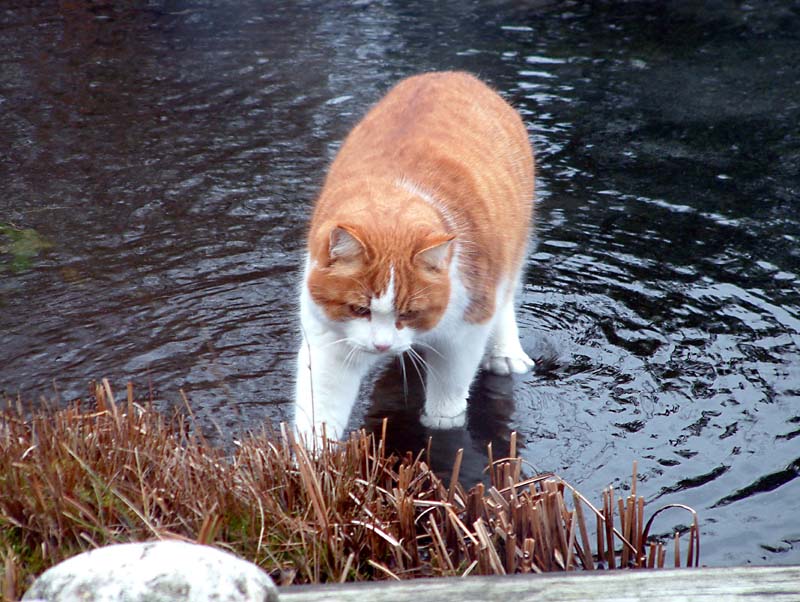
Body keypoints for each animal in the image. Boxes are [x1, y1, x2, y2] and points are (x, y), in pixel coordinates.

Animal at [292, 72, 532, 442]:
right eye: (358, 309)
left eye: (408, 313)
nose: (381, 346)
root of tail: (451, 74)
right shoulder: (328, 343)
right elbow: (319, 413)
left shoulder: (465, 330)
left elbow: (450, 388)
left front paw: (442, 420)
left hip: (509, 255)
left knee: (504, 298)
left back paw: (505, 352)